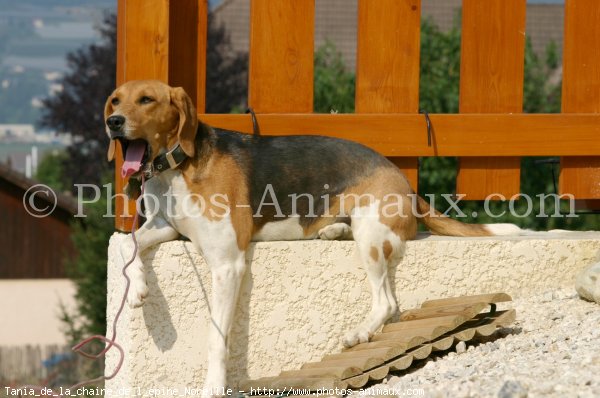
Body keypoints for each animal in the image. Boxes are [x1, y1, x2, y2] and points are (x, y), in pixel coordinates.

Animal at [104, 80, 520, 392]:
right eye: (115, 98)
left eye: (147, 99)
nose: (113, 121)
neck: (176, 167)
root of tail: (401, 177)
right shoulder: (165, 226)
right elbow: (127, 242)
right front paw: (138, 286)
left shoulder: (227, 264)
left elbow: (216, 337)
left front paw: (213, 387)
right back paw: (332, 229)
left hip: (371, 234)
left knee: (386, 302)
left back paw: (359, 332)